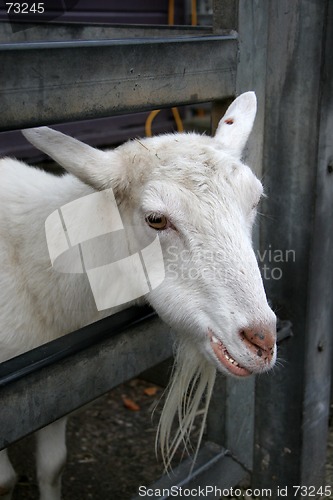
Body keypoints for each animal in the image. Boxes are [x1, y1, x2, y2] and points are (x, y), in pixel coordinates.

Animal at [0, 92, 274, 498]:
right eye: (156, 219)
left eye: (255, 201)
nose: (261, 341)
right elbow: (5, 481)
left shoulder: (47, 395)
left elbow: (52, 466)